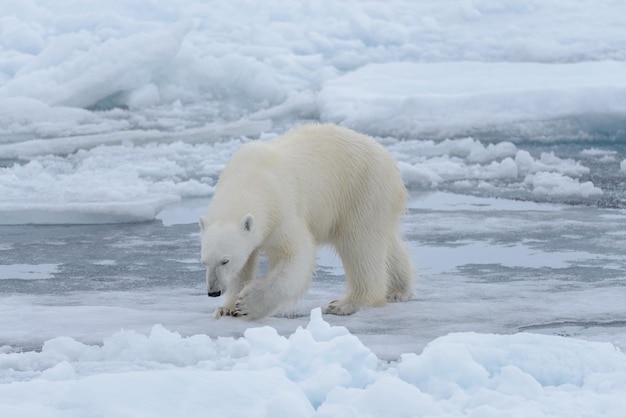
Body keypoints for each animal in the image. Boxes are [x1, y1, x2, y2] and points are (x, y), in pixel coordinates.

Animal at [200, 122, 412, 318]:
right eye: (204, 262)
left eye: (225, 261)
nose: (213, 292)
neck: (249, 179)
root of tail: (389, 160)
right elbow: (244, 265)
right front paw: (226, 308)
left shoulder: (282, 208)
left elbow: (295, 254)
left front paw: (248, 303)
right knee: (385, 243)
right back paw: (398, 290)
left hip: (362, 190)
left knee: (360, 246)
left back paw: (346, 304)